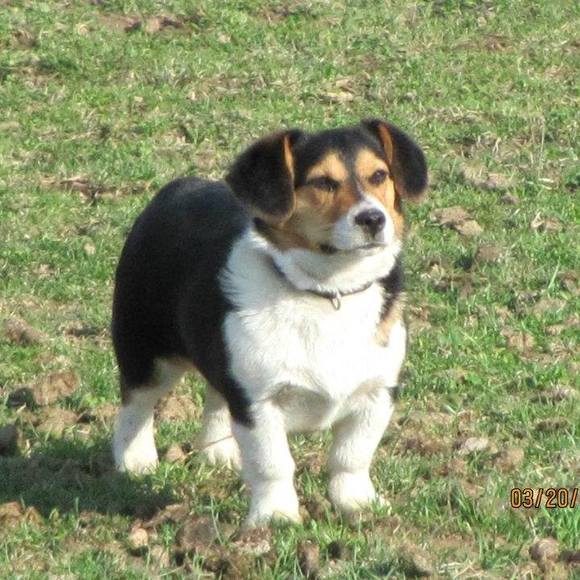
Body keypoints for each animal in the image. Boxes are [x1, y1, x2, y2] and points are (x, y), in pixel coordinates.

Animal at [112, 119, 428, 526]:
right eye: (323, 182)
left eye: (379, 175)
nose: (373, 218)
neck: (327, 292)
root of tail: (173, 190)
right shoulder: (258, 404)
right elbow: (273, 464)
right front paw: (276, 517)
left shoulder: (377, 393)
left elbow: (352, 457)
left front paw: (357, 504)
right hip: (147, 352)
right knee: (136, 404)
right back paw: (134, 462)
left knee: (216, 396)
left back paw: (218, 452)